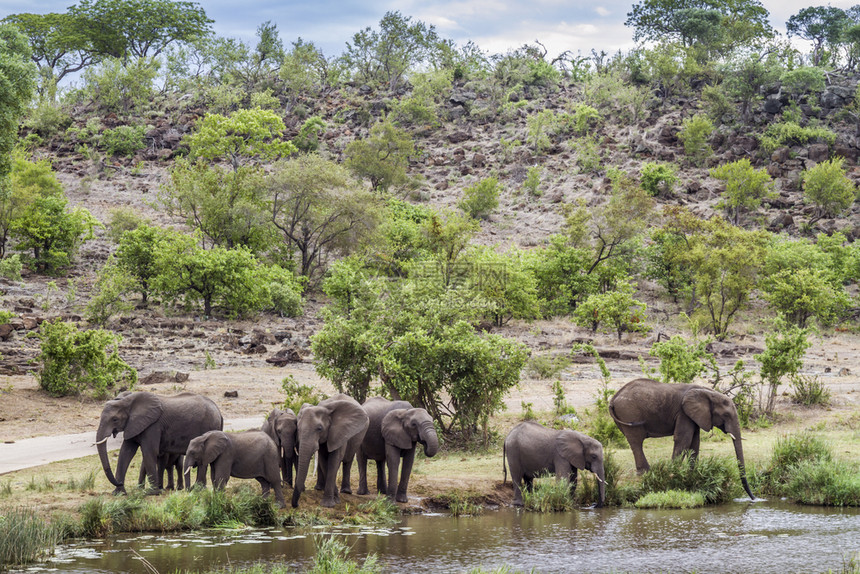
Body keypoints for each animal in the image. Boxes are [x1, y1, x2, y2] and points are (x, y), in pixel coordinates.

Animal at [95, 394, 223, 498]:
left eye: (115, 419)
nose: (120, 483)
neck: (127, 400)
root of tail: (219, 411)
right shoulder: (133, 424)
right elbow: (125, 452)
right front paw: (119, 493)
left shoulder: (153, 426)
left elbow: (149, 452)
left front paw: (152, 493)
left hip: (209, 426)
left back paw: (198, 489)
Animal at [608, 378, 756, 500]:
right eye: (725, 415)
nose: (754, 498)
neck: (709, 393)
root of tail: (613, 398)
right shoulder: (683, 412)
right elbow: (684, 439)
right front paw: (674, 471)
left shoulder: (695, 415)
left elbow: (695, 441)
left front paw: (693, 472)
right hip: (629, 412)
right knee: (636, 441)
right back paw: (646, 472)